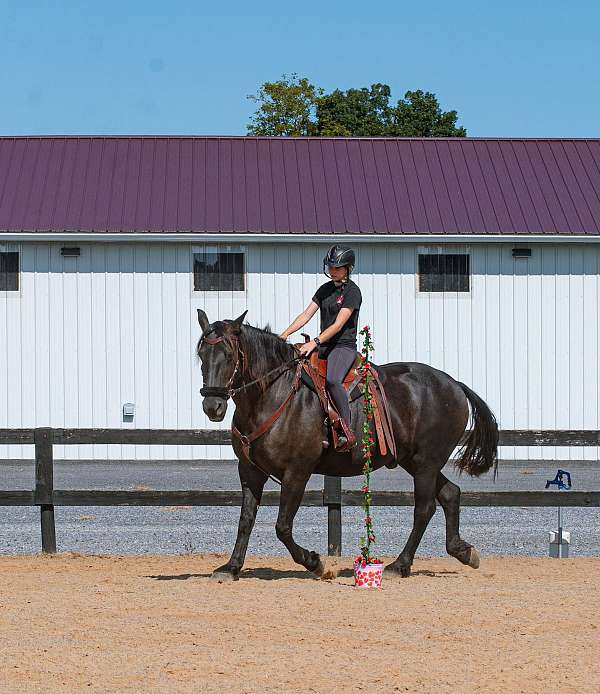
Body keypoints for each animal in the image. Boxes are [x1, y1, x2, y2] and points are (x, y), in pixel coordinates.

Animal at [197, 312, 496, 580]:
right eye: (201, 355)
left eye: (229, 355)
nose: (213, 406)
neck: (274, 393)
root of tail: (454, 384)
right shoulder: (250, 471)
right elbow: (246, 520)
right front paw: (231, 568)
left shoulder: (297, 473)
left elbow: (282, 526)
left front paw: (315, 563)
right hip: (416, 462)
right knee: (450, 494)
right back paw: (463, 551)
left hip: (426, 463)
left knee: (424, 509)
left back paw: (399, 565)